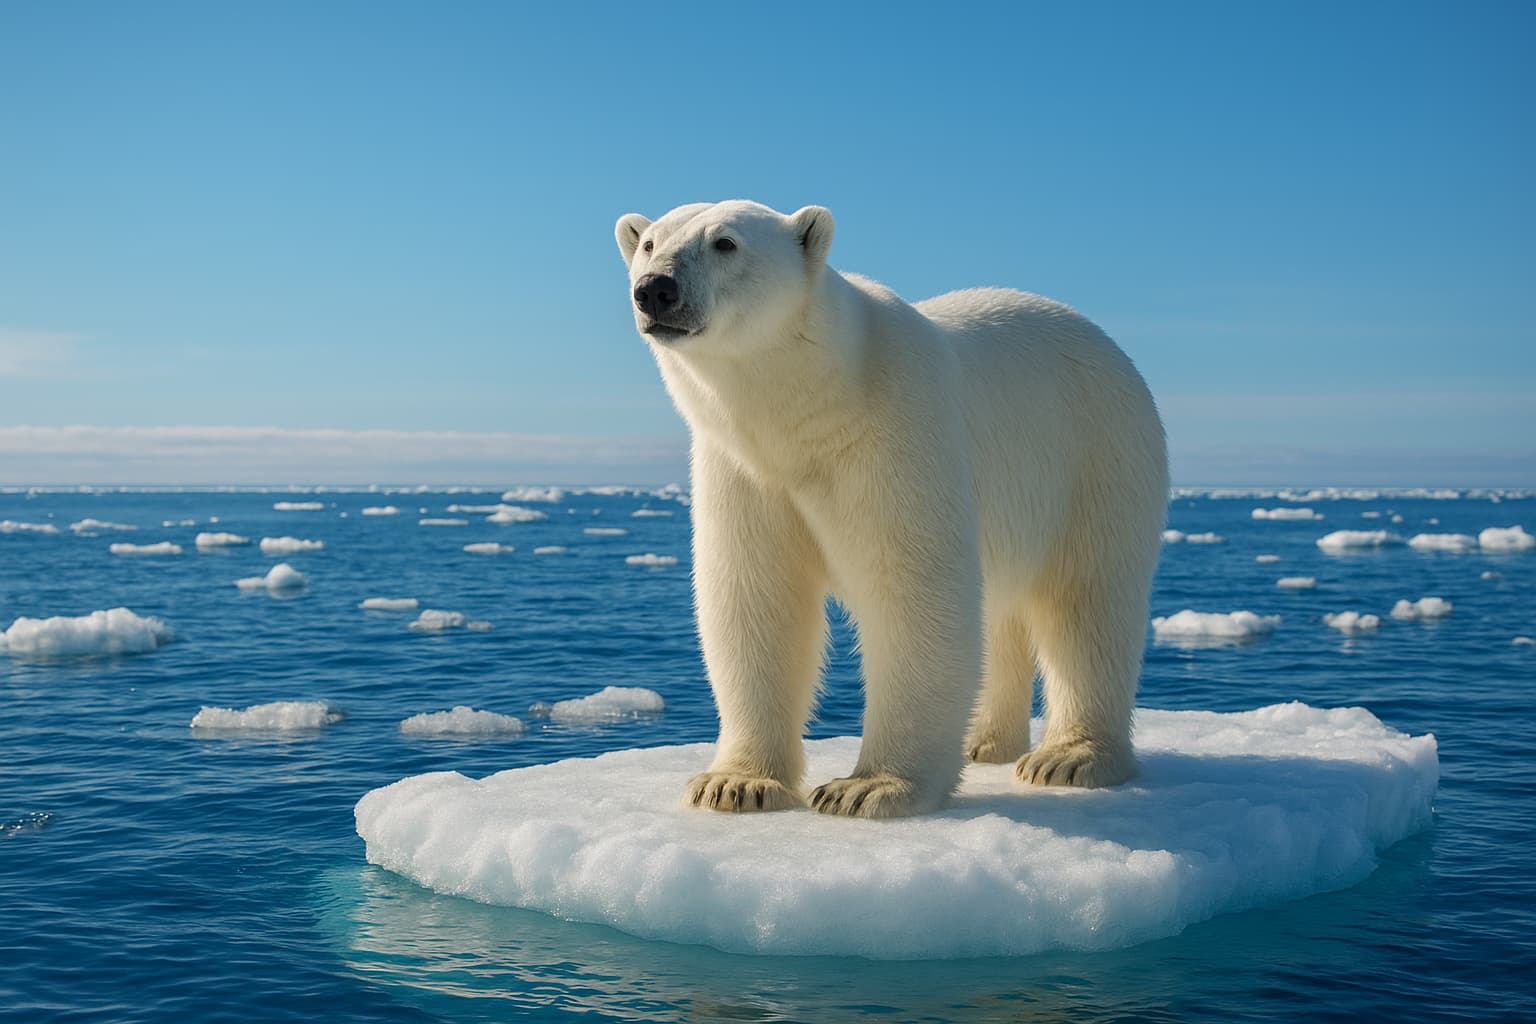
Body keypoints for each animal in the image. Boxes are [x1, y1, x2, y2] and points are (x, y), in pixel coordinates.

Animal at [614, 200, 1168, 819]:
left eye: (726, 242)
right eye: (649, 243)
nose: (654, 289)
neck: (815, 404)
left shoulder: (893, 434)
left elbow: (910, 590)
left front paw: (868, 787)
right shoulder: (744, 471)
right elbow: (756, 597)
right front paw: (734, 784)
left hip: (1097, 455)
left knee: (1085, 603)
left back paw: (1069, 758)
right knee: (1003, 611)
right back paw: (983, 742)